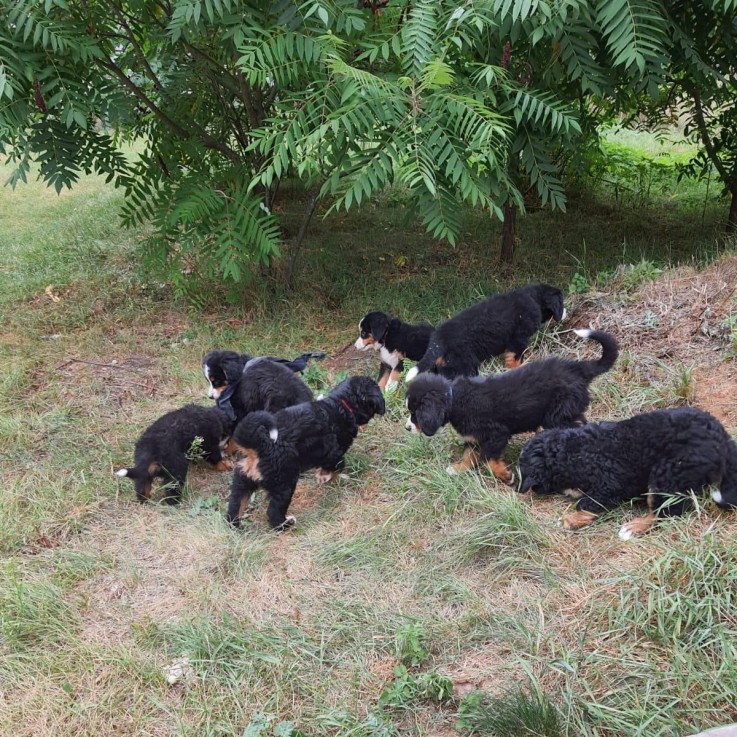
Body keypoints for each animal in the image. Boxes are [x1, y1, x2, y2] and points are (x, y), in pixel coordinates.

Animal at [224, 374, 386, 528]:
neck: (341, 404)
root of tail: (257, 445)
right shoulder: (334, 452)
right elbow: (336, 467)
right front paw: (327, 478)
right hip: (284, 483)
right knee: (274, 513)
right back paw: (285, 524)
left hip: (242, 479)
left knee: (235, 505)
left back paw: (236, 525)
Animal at [406, 284, 568, 382]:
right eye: (561, 303)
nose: (566, 312)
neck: (533, 299)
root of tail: (439, 338)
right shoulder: (518, 339)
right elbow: (516, 359)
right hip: (464, 363)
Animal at [406, 330, 620, 486]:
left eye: (414, 413)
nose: (407, 428)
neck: (454, 398)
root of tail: (577, 369)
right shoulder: (474, 438)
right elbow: (469, 455)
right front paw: (457, 469)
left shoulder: (496, 434)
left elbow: (489, 460)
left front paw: (505, 475)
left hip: (557, 415)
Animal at [516, 406, 736, 536]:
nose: (518, 488)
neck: (571, 450)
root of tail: (723, 439)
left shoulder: (610, 483)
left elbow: (587, 502)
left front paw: (570, 519)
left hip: (666, 473)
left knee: (666, 510)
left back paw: (633, 528)